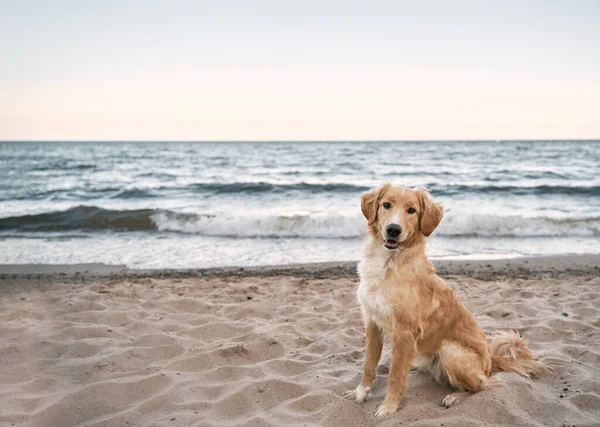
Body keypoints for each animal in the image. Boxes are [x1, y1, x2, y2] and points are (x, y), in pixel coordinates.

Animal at [344, 185, 552, 418]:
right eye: (386, 205)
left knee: (484, 385)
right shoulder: (372, 323)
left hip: (450, 351)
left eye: (411, 210)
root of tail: (490, 358)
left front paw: (389, 407)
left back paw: (454, 397)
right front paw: (360, 394)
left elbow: (396, 376)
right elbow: (368, 365)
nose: (393, 230)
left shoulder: (404, 333)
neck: (389, 263)